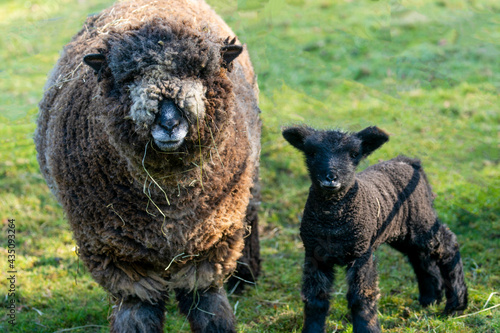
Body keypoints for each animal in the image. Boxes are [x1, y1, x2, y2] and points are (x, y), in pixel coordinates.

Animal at [35, 1, 262, 330]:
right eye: (128, 77)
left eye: (200, 72)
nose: (168, 123)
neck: (169, 198)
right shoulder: (120, 255)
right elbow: (138, 312)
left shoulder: (210, 243)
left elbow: (207, 306)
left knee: (252, 212)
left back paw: (246, 276)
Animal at [284, 125, 466, 332]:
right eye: (311, 153)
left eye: (354, 154)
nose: (331, 178)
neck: (333, 225)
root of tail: (407, 162)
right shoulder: (315, 255)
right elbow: (315, 299)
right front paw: (312, 329)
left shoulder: (361, 253)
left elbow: (362, 297)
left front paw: (367, 328)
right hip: (403, 232)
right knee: (420, 257)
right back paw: (430, 299)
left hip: (422, 219)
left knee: (448, 244)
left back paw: (456, 305)